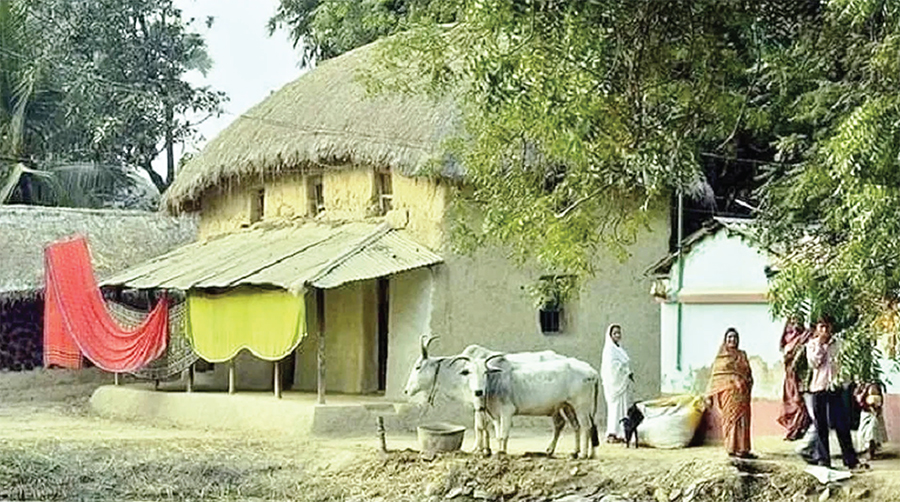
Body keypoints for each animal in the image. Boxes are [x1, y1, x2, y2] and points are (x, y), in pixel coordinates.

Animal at [402, 336, 576, 456]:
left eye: (418, 367)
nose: (406, 391)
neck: (460, 372)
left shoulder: (478, 401)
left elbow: (479, 426)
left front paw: (477, 449)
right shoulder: (482, 405)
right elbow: (485, 427)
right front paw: (486, 449)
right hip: (557, 407)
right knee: (560, 423)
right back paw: (550, 450)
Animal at [458, 352, 596, 458]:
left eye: (485, 372)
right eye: (469, 372)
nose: (478, 391)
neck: (496, 381)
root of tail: (591, 371)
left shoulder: (507, 412)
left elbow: (503, 435)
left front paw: (502, 452)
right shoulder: (495, 416)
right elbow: (497, 436)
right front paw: (497, 451)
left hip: (581, 407)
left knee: (586, 426)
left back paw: (583, 454)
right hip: (568, 406)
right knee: (576, 426)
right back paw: (575, 452)